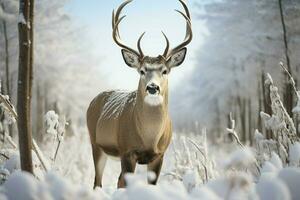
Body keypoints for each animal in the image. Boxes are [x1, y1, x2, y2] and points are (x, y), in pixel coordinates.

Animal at [86, 0, 192, 188]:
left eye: (164, 71)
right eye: (142, 71)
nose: (152, 87)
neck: (149, 139)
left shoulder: (159, 155)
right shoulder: (127, 151)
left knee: (117, 180)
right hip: (96, 144)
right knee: (98, 182)